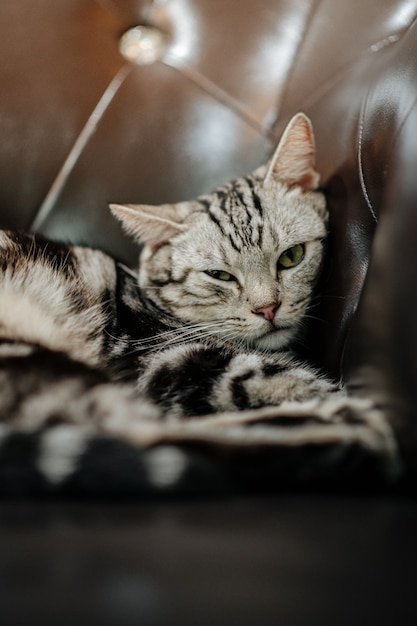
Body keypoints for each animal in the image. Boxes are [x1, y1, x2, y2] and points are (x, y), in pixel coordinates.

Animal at [0, 112, 400, 492]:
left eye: (292, 256)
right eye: (219, 275)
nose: (268, 308)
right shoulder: (172, 357)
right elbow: (286, 381)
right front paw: (333, 402)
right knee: (155, 439)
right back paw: (348, 426)